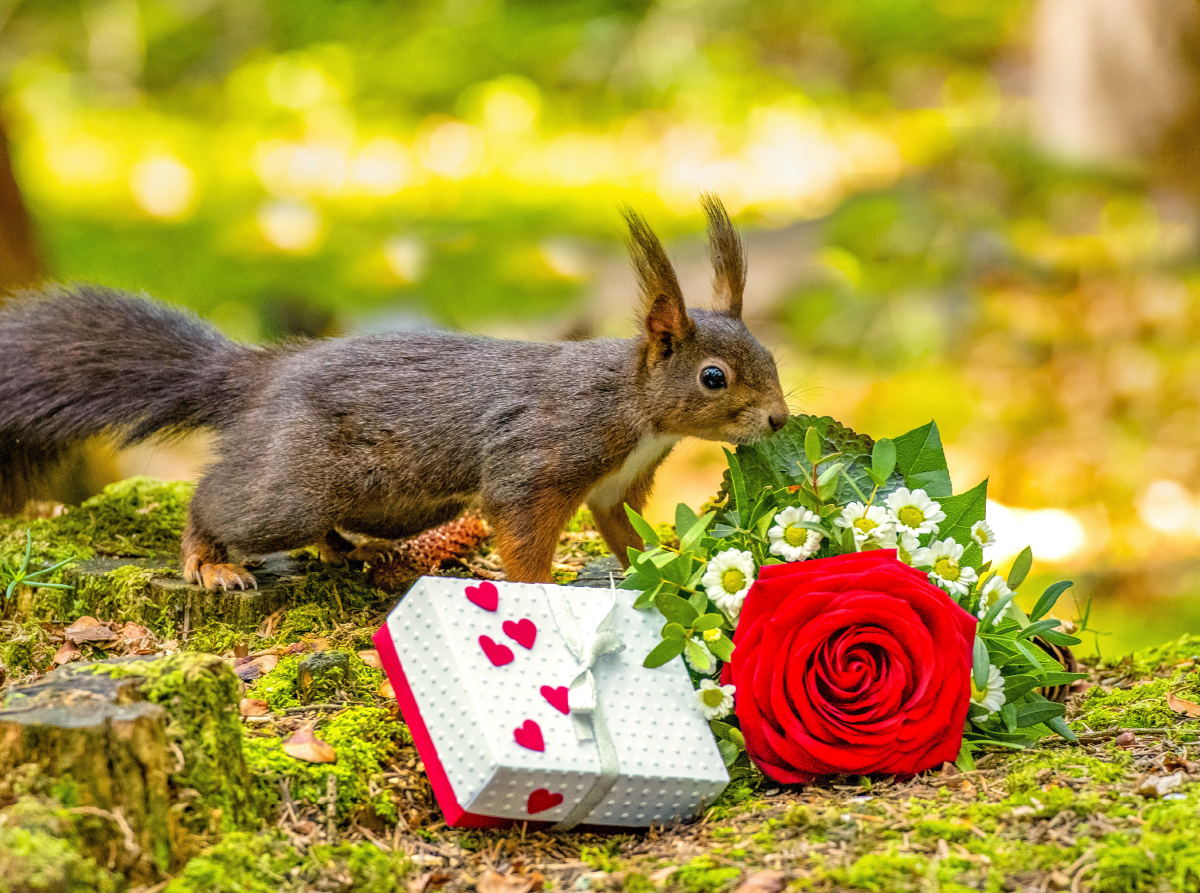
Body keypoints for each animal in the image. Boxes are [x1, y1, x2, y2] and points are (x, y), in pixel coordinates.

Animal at [0, 195, 792, 590]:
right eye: (713, 377)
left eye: (769, 356)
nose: (781, 420)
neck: (636, 407)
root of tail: (262, 375)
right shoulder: (538, 457)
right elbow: (521, 532)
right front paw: (542, 590)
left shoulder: (614, 485)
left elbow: (624, 533)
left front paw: (668, 565)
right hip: (294, 482)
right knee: (225, 501)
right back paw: (208, 561)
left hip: (397, 501)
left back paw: (349, 552)